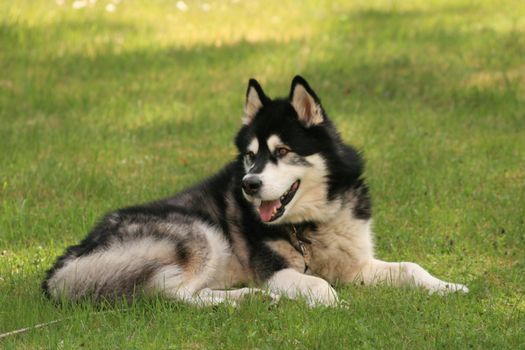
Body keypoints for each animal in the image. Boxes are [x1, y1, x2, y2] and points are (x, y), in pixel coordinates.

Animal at [42, 76, 466, 306]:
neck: (311, 223)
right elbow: (321, 285)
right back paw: (245, 300)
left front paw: (448, 286)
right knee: (171, 294)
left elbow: (411, 268)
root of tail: (65, 264)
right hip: (198, 234)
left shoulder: (356, 263)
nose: (250, 185)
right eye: (250, 156)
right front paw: (336, 305)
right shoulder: (274, 271)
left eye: (281, 151)